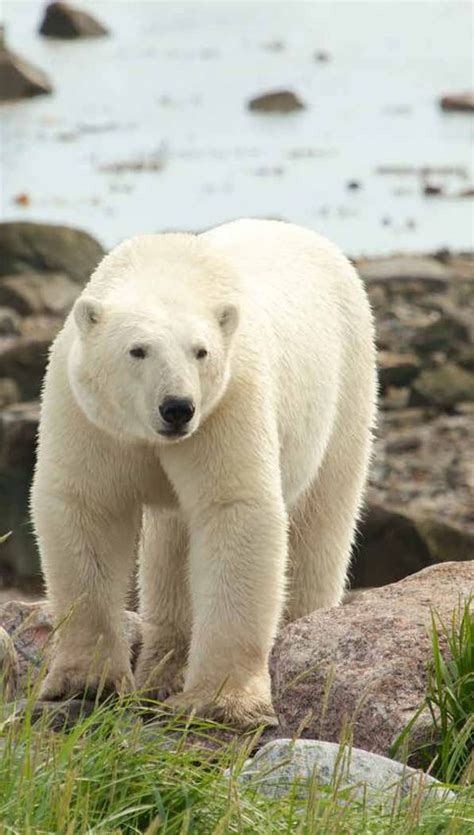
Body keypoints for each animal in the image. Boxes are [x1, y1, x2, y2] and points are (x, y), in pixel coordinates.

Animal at [30, 219, 378, 728]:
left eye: (201, 351)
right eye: (137, 350)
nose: (177, 407)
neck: (169, 268)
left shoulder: (228, 402)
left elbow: (235, 509)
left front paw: (222, 702)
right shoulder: (88, 414)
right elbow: (87, 507)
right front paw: (85, 681)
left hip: (347, 386)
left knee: (322, 521)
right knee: (171, 545)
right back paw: (161, 670)